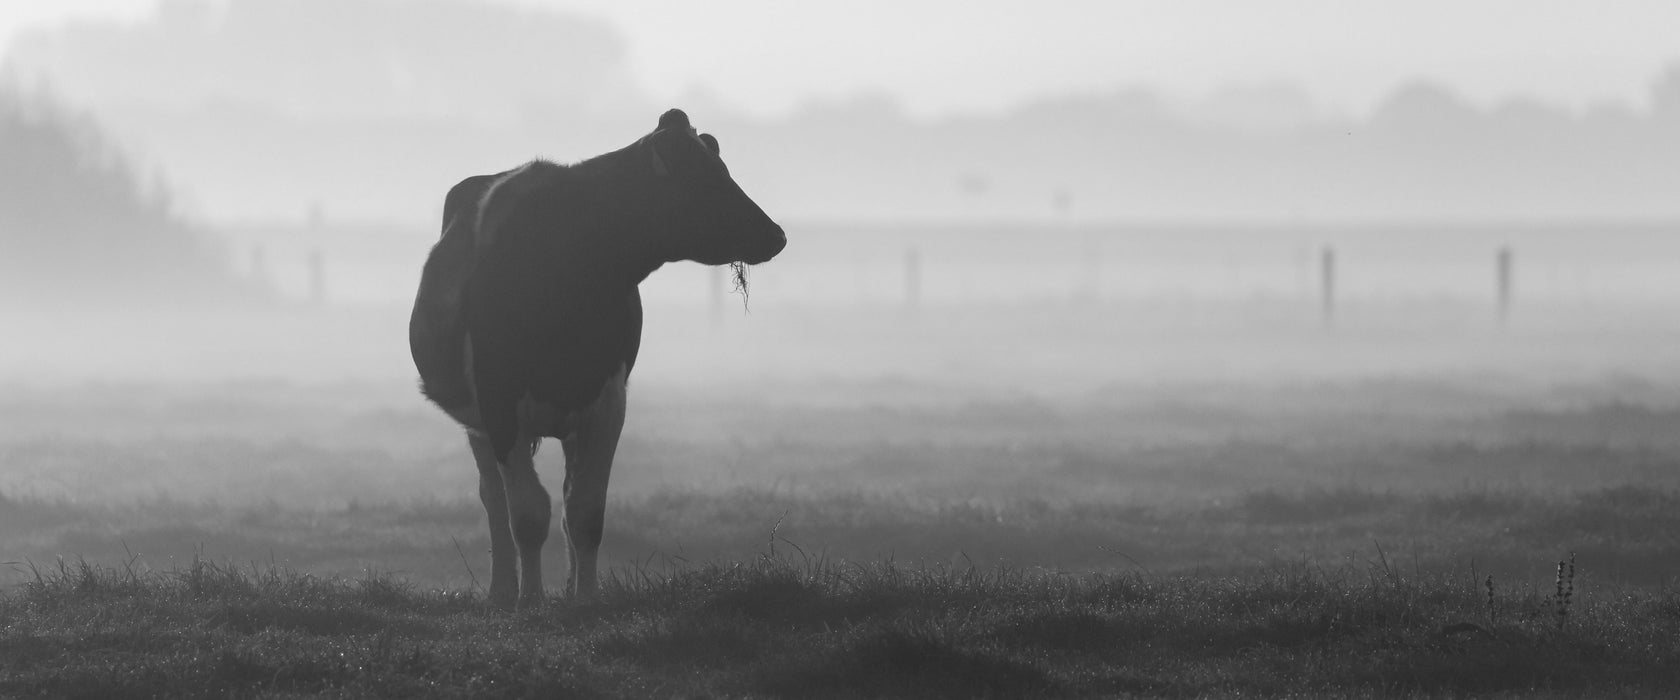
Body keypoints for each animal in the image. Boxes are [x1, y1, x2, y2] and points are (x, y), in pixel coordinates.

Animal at [416, 109, 789, 604]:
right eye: (705, 179)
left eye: (722, 169)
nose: (776, 235)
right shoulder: (499, 404)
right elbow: (528, 516)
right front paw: (531, 600)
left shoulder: (608, 400)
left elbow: (586, 513)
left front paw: (586, 599)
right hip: (479, 424)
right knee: (494, 501)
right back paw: (502, 591)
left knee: (566, 497)